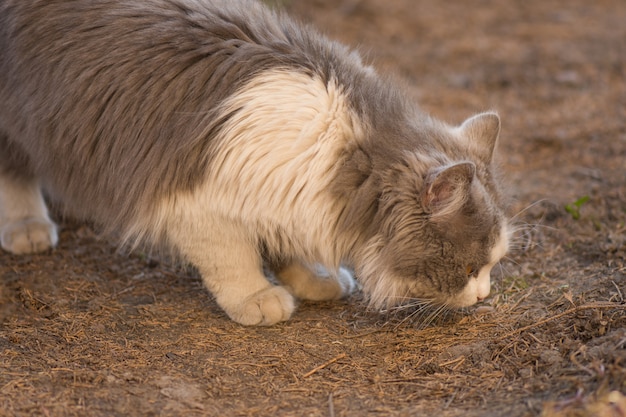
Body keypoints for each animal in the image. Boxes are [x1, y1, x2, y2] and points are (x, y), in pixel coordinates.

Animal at [0, 0, 508, 324]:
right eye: (470, 270)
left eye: (491, 266)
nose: (484, 295)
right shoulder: (198, 204)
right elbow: (234, 259)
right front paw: (259, 299)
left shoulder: (279, 189)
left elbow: (285, 241)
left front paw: (314, 279)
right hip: (15, 125)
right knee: (15, 176)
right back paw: (27, 227)